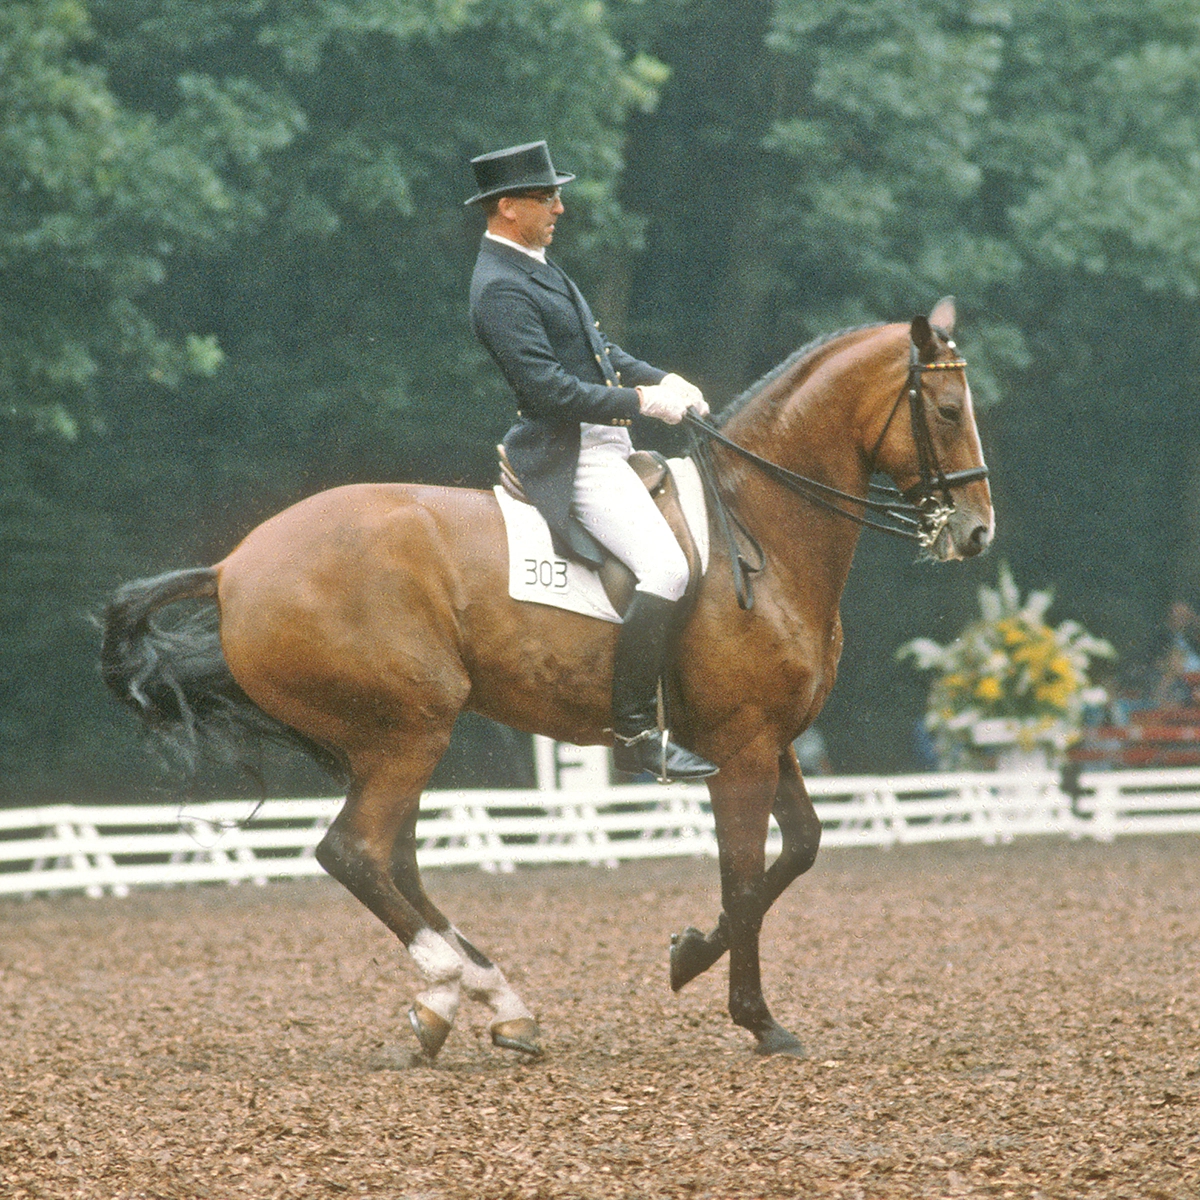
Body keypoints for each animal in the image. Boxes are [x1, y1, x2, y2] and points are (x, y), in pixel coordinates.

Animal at [101, 297, 992, 1060]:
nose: (977, 533)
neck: (758, 531)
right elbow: (743, 877)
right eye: (948, 412)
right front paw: (758, 1019)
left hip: (390, 741)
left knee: (395, 860)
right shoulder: (738, 745)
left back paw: (484, 1004)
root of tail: (232, 567)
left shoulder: (773, 739)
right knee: (356, 852)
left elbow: (800, 848)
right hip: (410, 728)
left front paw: (690, 954)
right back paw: (453, 985)